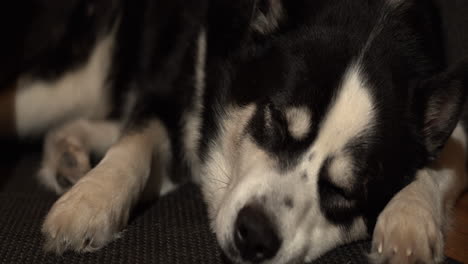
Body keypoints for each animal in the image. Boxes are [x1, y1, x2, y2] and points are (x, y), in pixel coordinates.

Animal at [1, 0, 466, 264]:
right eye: (274, 122)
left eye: (345, 191)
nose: (254, 236)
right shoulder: (174, 88)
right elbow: (135, 141)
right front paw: (89, 204)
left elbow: (441, 161)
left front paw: (408, 220)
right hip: (65, 81)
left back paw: (66, 152)